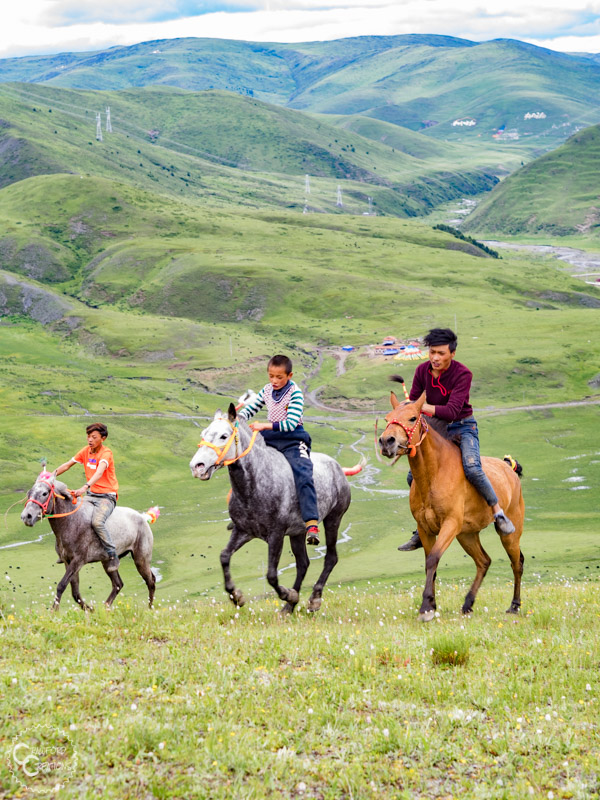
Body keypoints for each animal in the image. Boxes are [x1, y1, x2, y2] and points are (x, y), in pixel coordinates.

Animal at [21, 476, 155, 612]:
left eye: (44, 493)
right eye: (29, 493)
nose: (26, 517)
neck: (71, 521)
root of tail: (143, 518)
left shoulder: (78, 561)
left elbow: (61, 585)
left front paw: (54, 611)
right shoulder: (68, 561)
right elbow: (75, 592)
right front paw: (91, 610)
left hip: (141, 560)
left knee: (151, 581)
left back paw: (150, 609)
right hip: (108, 563)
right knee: (118, 584)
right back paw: (105, 608)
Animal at [190, 404, 354, 616]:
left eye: (223, 436)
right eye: (204, 434)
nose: (197, 467)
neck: (254, 485)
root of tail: (338, 468)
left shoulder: (276, 535)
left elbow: (271, 575)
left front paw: (288, 594)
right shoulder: (243, 531)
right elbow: (224, 557)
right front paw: (237, 596)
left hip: (333, 519)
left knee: (330, 558)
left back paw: (313, 600)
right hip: (297, 532)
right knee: (303, 564)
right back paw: (289, 607)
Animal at [380, 390, 524, 620]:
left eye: (412, 417)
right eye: (387, 419)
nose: (386, 441)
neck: (433, 474)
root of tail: (509, 469)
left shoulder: (449, 524)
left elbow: (433, 559)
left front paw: (425, 608)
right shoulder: (425, 528)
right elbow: (430, 563)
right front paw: (431, 605)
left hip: (510, 534)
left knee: (516, 563)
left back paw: (514, 605)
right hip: (466, 535)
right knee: (484, 561)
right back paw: (468, 603)